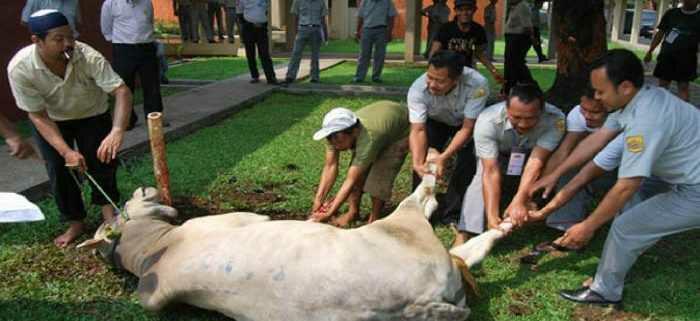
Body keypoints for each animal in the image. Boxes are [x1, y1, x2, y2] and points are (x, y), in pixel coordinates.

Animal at [79, 175, 478, 320]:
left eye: (125, 202)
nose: (143, 187)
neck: (154, 248)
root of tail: (420, 302)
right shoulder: (235, 218)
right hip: (404, 225)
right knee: (418, 202)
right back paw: (430, 179)